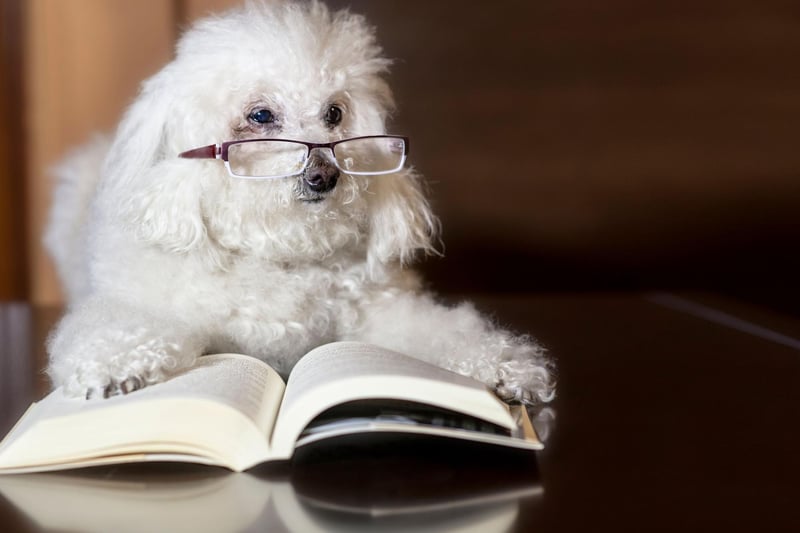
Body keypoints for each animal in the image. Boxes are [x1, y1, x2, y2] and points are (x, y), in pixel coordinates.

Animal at [45, 0, 556, 404]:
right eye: (260, 115)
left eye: (334, 113)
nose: (324, 174)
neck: (281, 254)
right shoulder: (153, 300)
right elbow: (123, 326)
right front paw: (116, 364)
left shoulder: (380, 309)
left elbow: (442, 331)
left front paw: (506, 363)